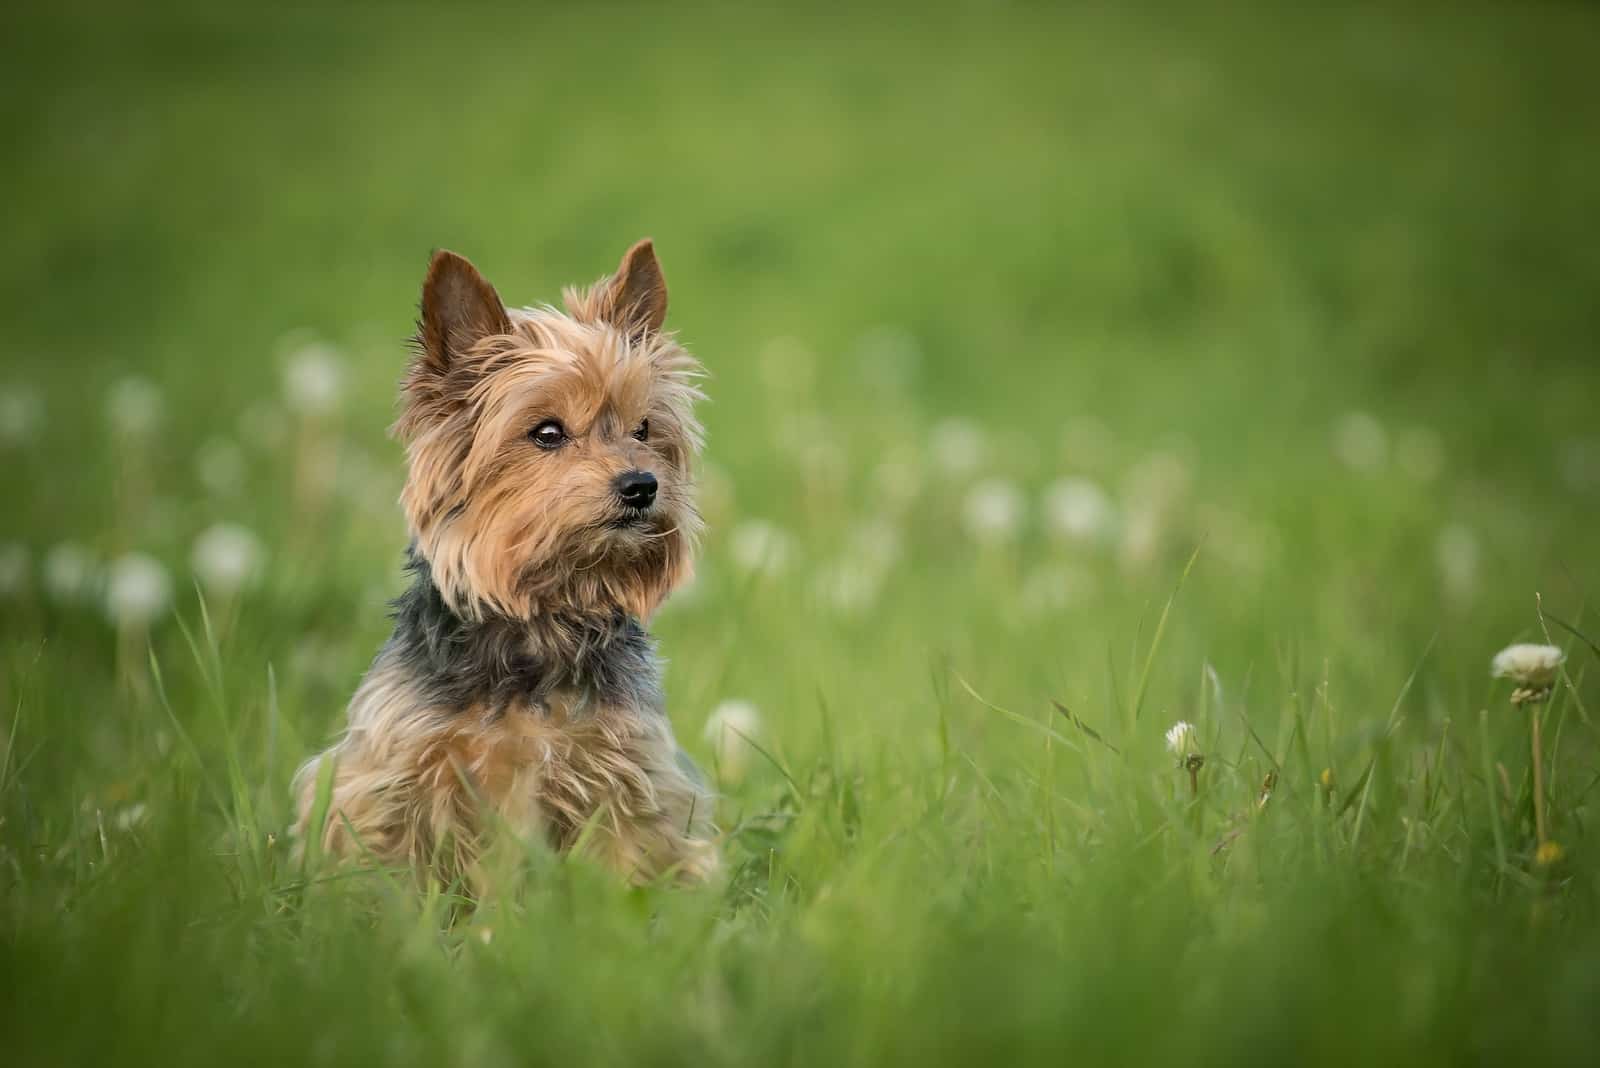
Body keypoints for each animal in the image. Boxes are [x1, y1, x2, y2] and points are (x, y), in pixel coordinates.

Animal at [299, 244, 720, 895]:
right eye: (546, 432)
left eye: (644, 429)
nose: (642, 485)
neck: (542, 622)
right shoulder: (390, 780)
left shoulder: (626, 775)